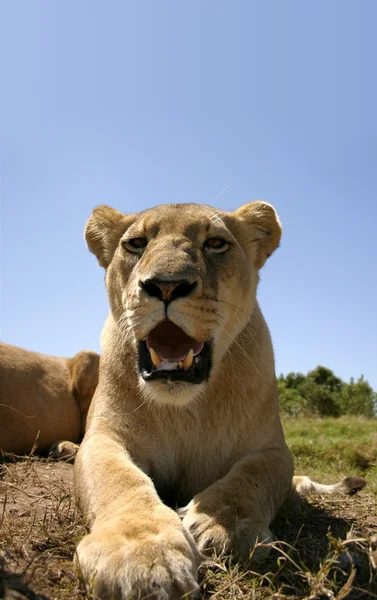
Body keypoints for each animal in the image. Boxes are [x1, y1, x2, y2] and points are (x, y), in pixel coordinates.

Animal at [73, 200, 364, 600]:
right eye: (135, 244)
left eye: (215, 243)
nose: (166, 285)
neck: (186, 408)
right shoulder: (103, 438)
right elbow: (117, 479)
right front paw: (142, 556)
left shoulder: (273, 450)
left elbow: (250, 476)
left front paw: (220, 526)